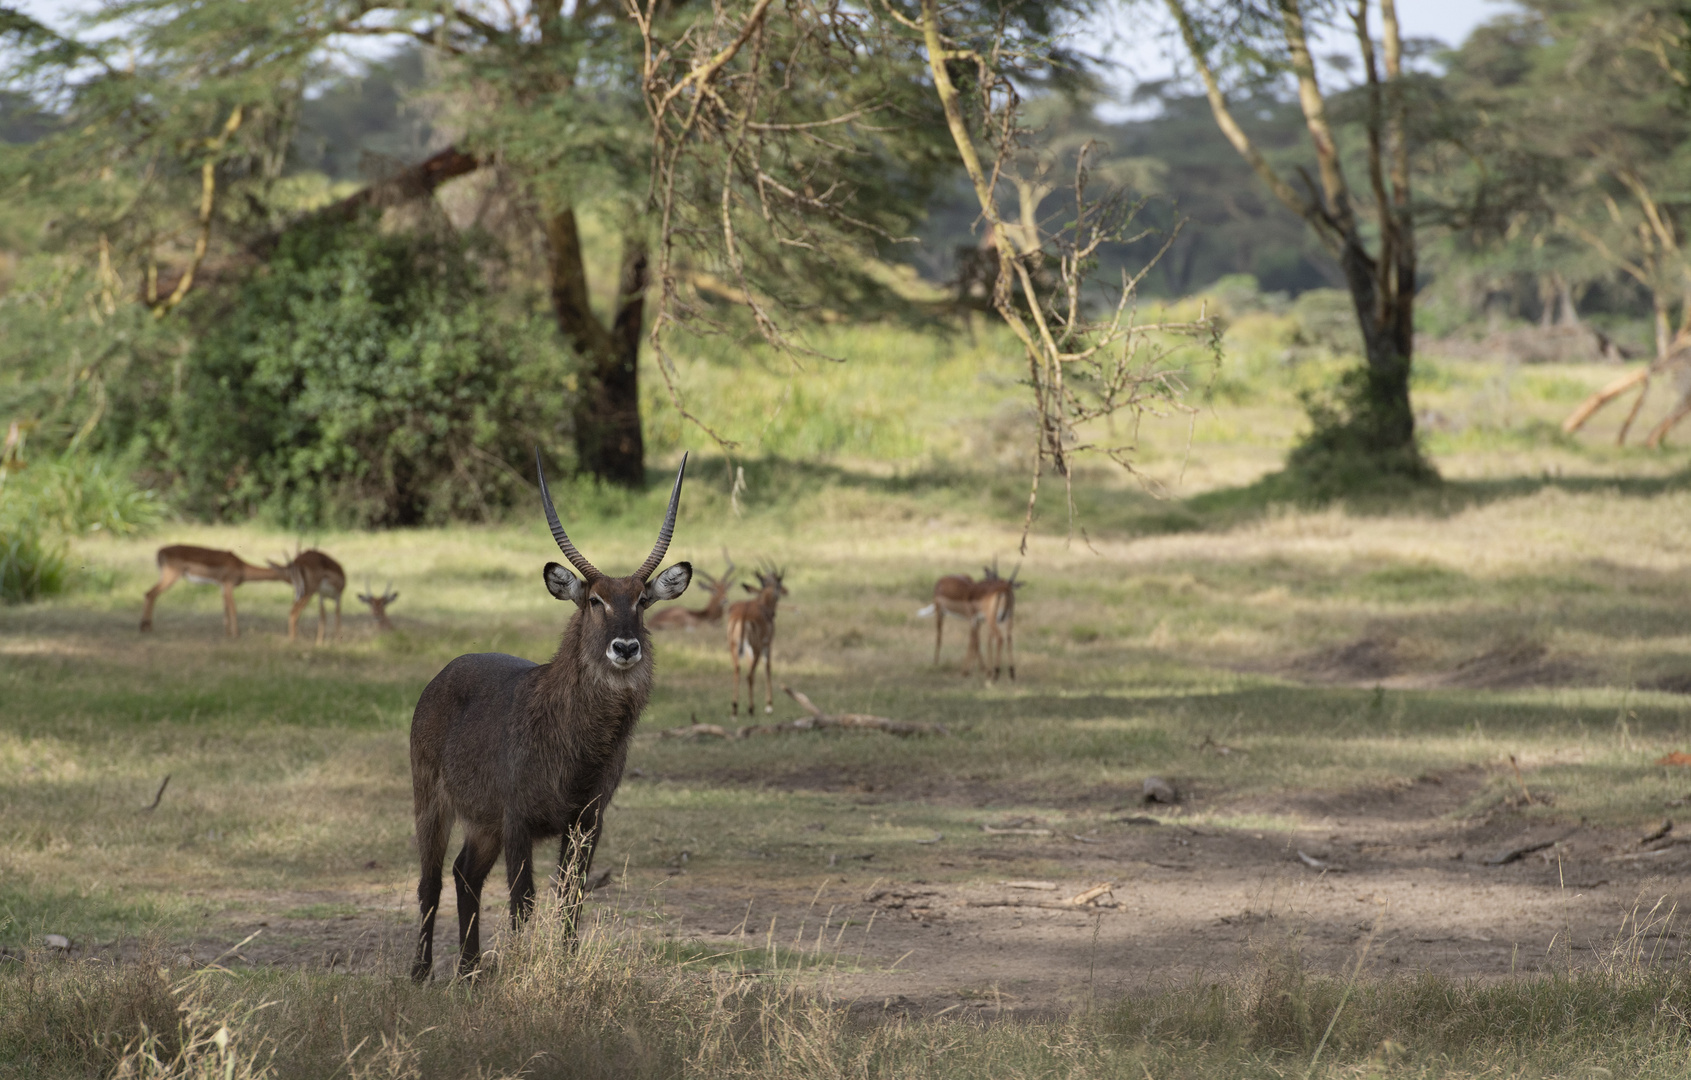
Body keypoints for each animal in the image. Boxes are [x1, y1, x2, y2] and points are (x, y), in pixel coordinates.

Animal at [139, 544, 290, 638]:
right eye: (288, 571)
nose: (292, 582)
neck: (241, 566)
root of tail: (160, 551)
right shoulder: (228, 585)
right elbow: (233, 609)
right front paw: (237, 635)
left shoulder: (222, 587)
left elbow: (225, 610)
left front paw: (227, 634)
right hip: (171, 576)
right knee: (151, 594)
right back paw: (146, 628)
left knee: (148, 593)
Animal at [405, 446, 689, 980]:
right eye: (595, 600)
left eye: (642, 600)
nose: (625, 647)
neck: (579, 746)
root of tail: (442, 674)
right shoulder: (518, 818)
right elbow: (524, 900)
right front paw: (522, 971)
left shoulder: (587, 820)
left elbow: (571, 899)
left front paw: (565, 966)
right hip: (431, 797)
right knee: (431, 879)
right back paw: (421, 972)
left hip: (484, 822)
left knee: (464, 873)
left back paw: (471, 971)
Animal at [720, 567, 784, 716]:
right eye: (778, 586)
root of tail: (743, 615)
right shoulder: (768, 643)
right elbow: (768, 668)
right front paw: (769, 706)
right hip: (757, 647)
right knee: (749, 674)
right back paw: (750, 708)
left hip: (734, 646)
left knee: (737, 670)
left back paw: (735, 708)